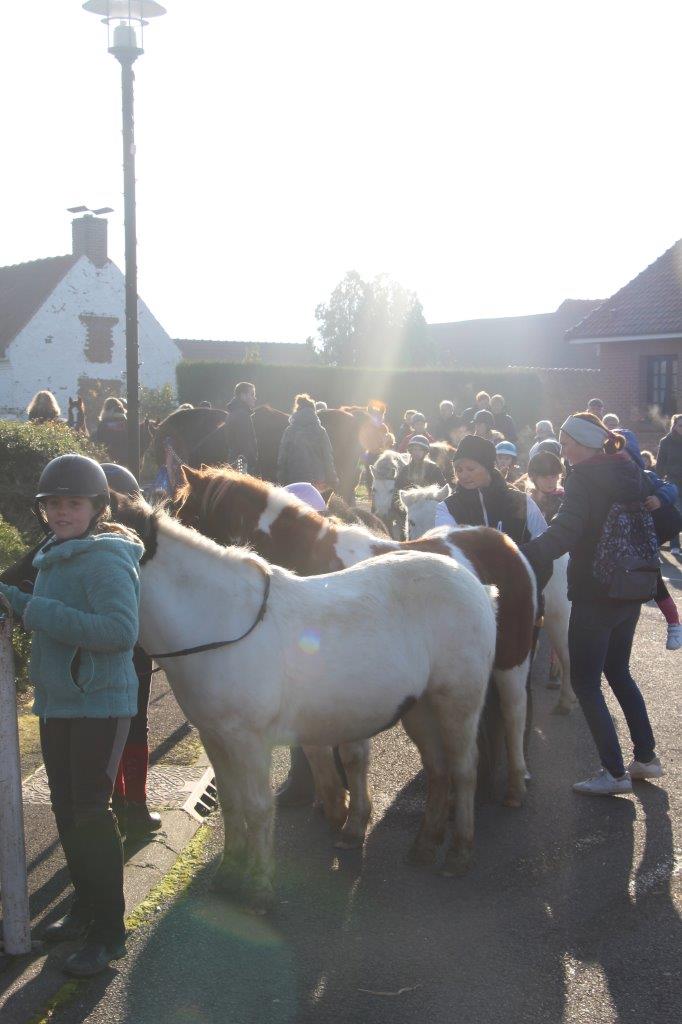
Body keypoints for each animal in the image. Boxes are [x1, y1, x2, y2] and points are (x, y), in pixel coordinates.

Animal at [111, 491, 493, 909]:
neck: (221, 622)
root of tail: (473, 582)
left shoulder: (250, 742)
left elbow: (258, 806)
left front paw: (260, 887)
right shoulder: (214, 737)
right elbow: (230, 802)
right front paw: (228, 872)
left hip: (457, 703)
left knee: (464, 769)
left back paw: (459, 853)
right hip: (421, 709)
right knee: (438, 768)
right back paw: (424, 845)